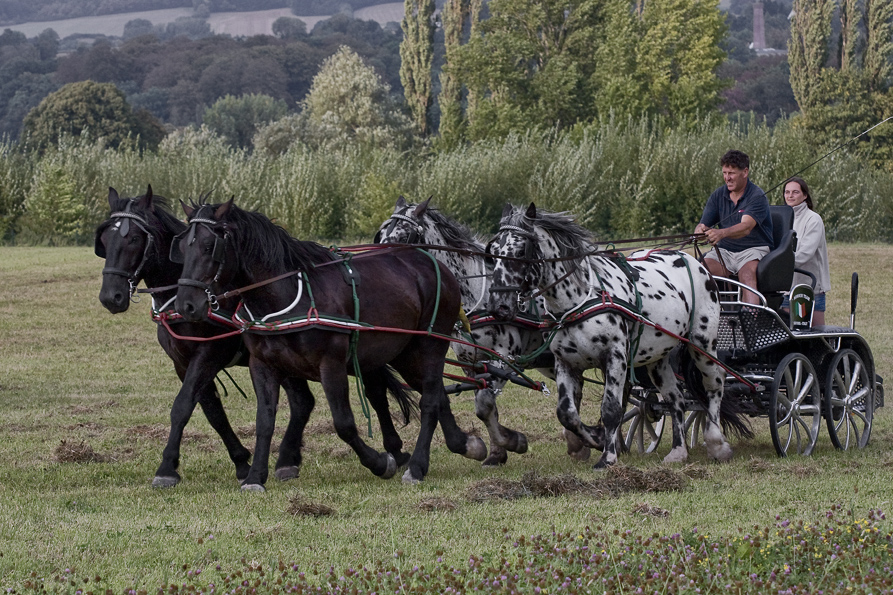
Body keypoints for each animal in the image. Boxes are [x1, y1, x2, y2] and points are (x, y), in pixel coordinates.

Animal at [96, 187, 416, 488]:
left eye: (133, 239)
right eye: (105, 241)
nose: (111, 297)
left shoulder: (210, 354)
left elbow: (183, 405)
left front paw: (167, 468)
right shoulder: (183, 362)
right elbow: (212, 412)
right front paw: (241, 463)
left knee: (374, 393)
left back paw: (395, 452)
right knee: (305, 401)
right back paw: (289, 459)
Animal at [174, 199, 488, 488]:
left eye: (209, 247)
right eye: (183, 247)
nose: (186, 305)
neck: (288, 296)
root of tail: (434, 264)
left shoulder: (331, 364)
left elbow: (344, 424)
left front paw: (380, 462)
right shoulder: (262, 365)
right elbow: (264, 421)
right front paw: (254, 477)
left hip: (430, 346)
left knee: (431, 400)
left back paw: (418, 466)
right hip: (404, 353)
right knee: (437, 395)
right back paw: (464, 444)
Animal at [374, 199, 600, 466]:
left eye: (404, 236)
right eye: (380, 235)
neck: (474, 292)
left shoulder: (503, 358)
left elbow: (484, 403)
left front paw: (512, 441)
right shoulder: (470, 362)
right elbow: (486, 405)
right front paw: (497, 452)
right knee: (576, 389)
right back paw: (579, 442)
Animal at [488, 205, 740, 470]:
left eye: (520, 250)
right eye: (492, 252)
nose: (498, 306)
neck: (579, 299)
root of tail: (693, 260)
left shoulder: (615, 357)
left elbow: (611, 410)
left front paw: (607, 457)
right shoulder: (565, 362)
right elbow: (567, 413)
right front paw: (594, 439)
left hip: (703, 344)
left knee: (714, 384)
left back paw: (716, 443)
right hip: (657, 359)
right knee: (677, 399)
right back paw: (678, 451)